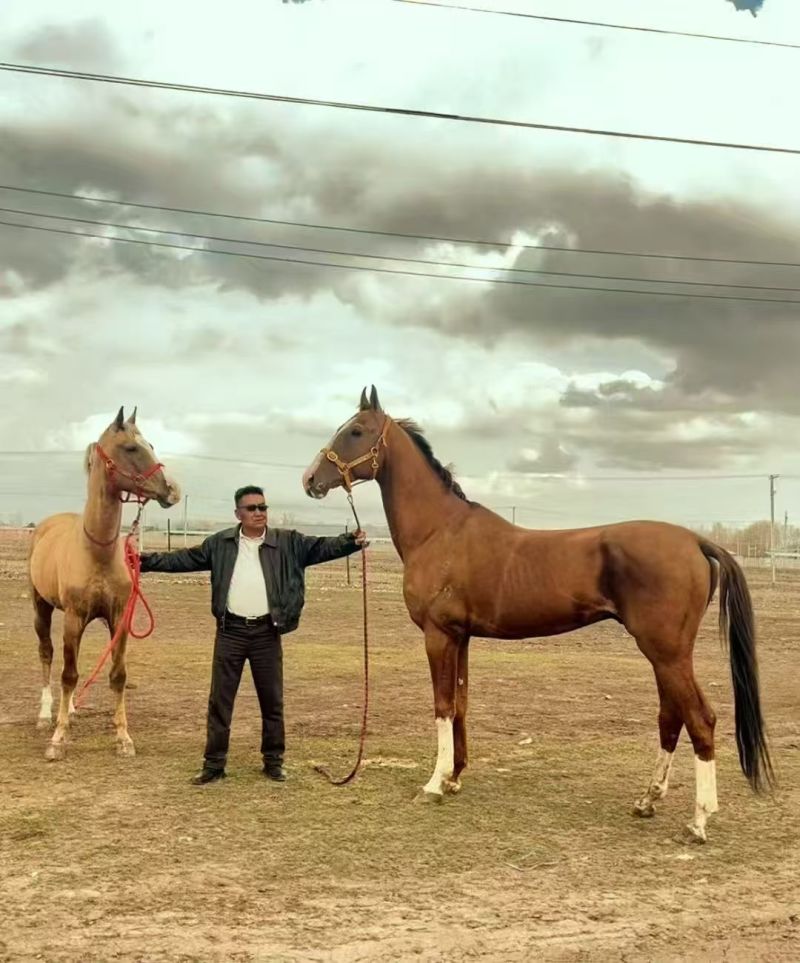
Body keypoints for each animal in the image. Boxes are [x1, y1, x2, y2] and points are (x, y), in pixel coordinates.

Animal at [29, 407, 181, 760]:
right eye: (131, 448)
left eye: (151, 444)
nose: (172, 490)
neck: (97, 551)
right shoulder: (73, 618)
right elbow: (68, 674)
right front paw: (57, 739)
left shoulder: (119, 617)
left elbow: (117, 675)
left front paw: (123, 738)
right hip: (42, 609)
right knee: (47, 654)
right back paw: (46, 716)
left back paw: (70, 711)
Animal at [302, 386, 773, 842]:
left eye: (356, 431)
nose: (310, 480)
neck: (440, 532)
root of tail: (695, 541)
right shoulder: (461, 637)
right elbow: (461, 704)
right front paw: (454, 778)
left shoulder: (437, 635)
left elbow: (442, 706)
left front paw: (434, 785)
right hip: (665, 656)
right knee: (671, 717)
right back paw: (647, 801)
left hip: (666, 652)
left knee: (701, 720)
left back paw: (698, 822)